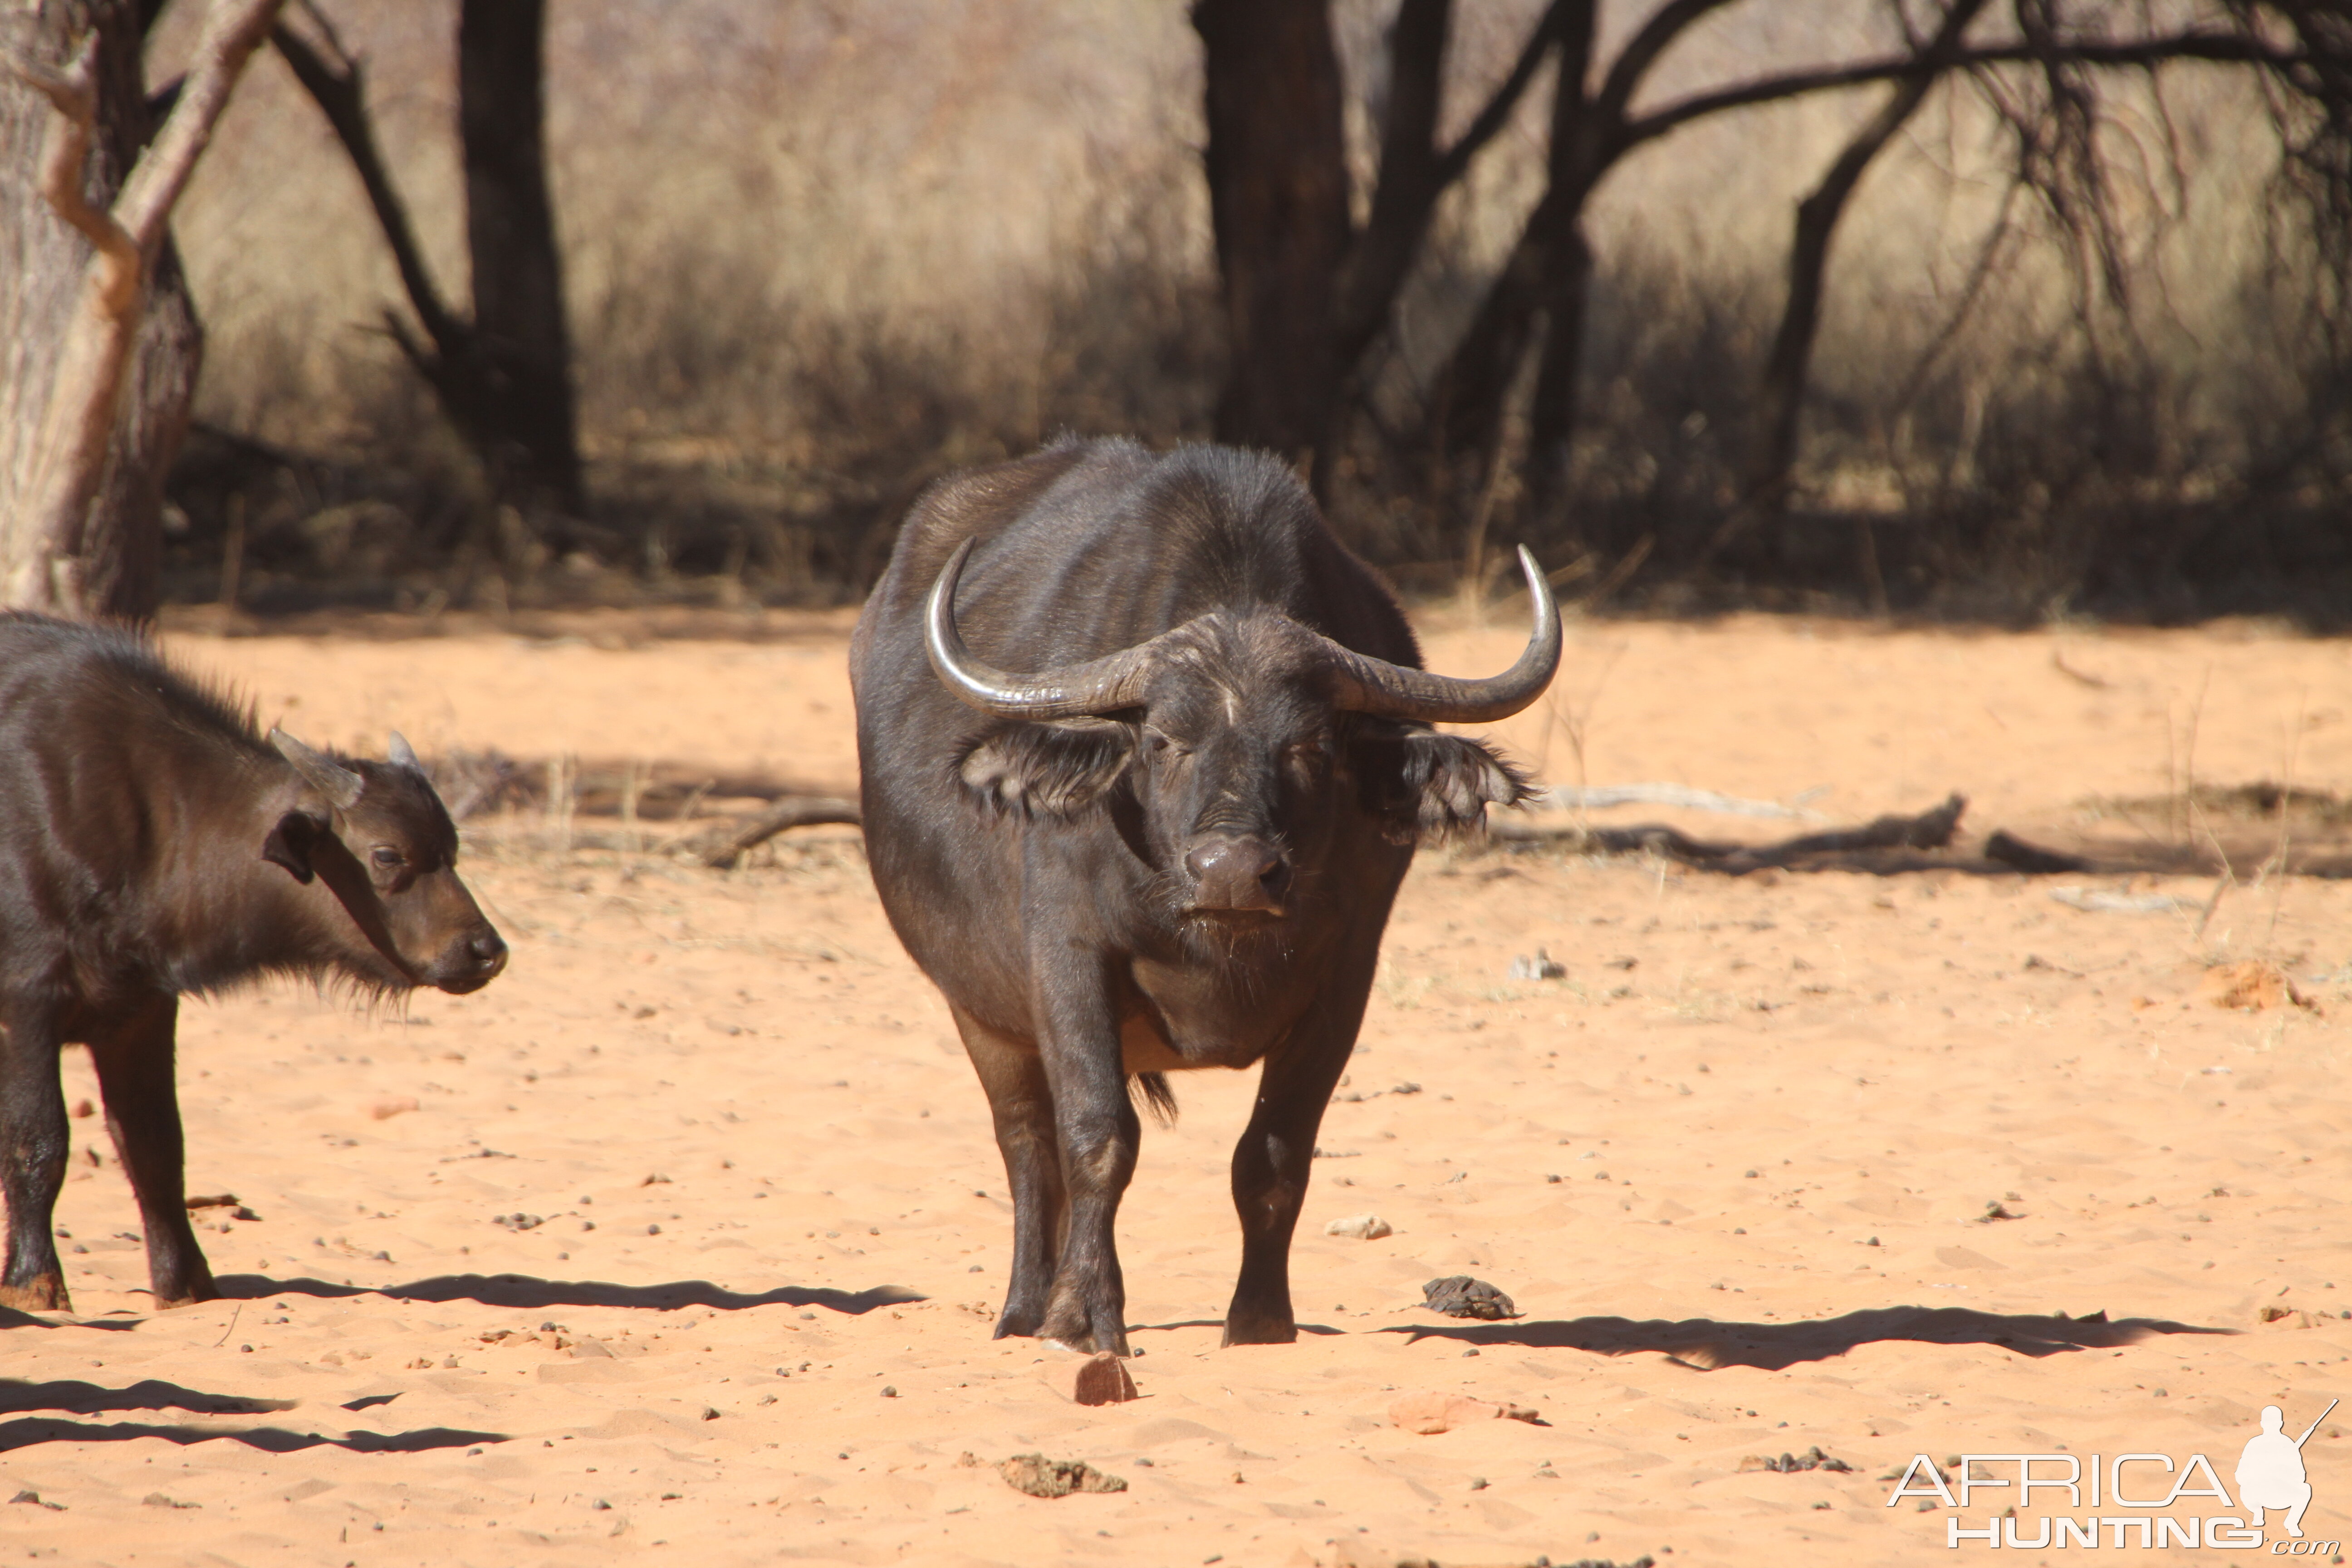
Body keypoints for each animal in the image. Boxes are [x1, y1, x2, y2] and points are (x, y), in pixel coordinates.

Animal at [0, 611, 505, 1316]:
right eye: (387, 854)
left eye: (452, 847)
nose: (485, 951)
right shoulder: (26, 1006)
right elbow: (38, 1142)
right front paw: (34, 1283)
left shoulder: (140, 1012)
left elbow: (157, 1146)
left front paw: (185, 1285)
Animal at [856, 439, 1552, 1354]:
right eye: (1162, 740)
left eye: (1311, 745)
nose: (1231, 871)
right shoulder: (1067, 958)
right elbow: (1096, 1141)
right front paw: (1084, 1317)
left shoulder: (1346, 980)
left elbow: (1274, 1153)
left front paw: (1259, 1322)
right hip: (979, 1013)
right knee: (1028, 1148)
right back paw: (1025, 1307)